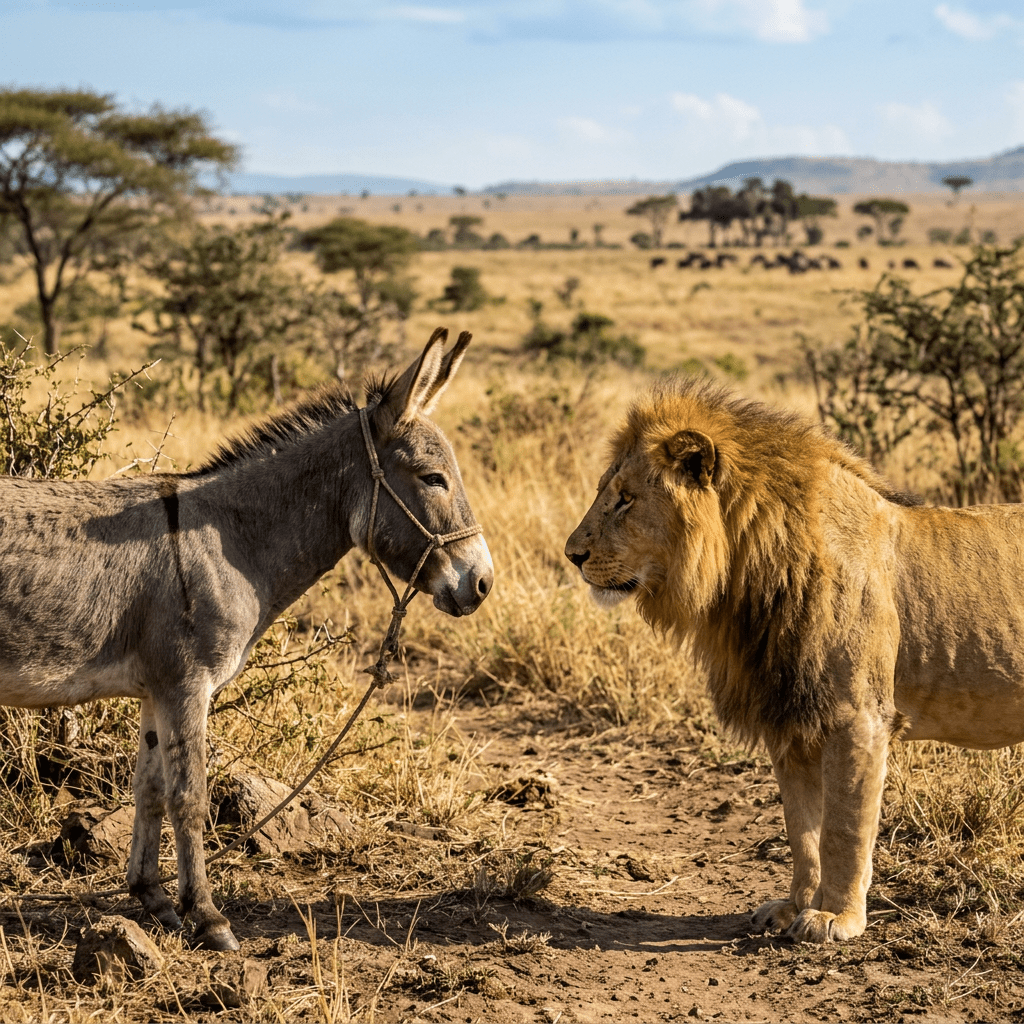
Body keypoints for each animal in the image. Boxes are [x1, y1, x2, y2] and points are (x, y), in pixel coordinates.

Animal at [565, 376, 1024, 943]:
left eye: (625, 500)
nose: (571, 554)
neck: (746, 578)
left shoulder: (858, 718)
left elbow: (843, 830)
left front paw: (837, 919)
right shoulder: (791, 719)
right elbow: (802, 830)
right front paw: (794, 906)